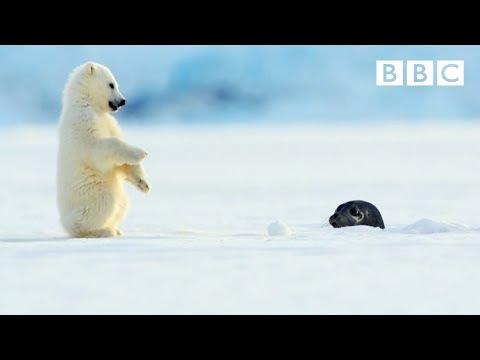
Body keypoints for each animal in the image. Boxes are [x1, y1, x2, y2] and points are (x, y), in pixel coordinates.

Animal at [56, 60, 150, 238]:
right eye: (111, 84)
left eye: (115, 83)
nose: (123, 101)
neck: (86, 103)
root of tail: (64, 223)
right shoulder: (83, 121)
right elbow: (100, 149)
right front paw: (141, 153)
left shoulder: (108, 122)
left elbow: (120, 162)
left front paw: (143, 183)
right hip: (91, 192)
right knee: (105, 203)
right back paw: (103, 230)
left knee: (122, 203)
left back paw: (116, 228)